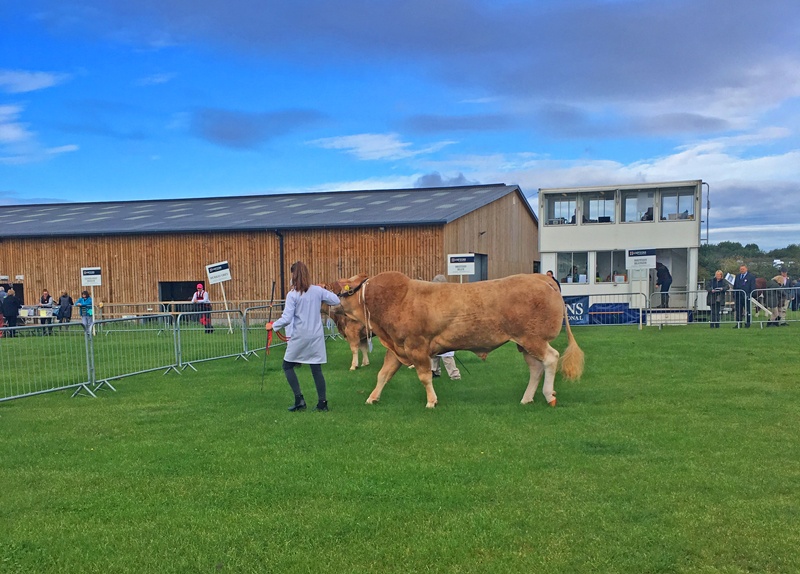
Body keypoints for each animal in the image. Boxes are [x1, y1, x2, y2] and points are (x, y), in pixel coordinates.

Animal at [328, 272, 584, 410]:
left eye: (345, 289)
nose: (333, 303)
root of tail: (541, 277)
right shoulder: (396, 348)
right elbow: (383, 374)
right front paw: (372, 397)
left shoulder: (416, 346)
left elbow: (424, 376)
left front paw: (431, 401)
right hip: (525, 343)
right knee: (535, 369)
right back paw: (526, 398)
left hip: (533, 339)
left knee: (551, 359)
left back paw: (549, 395)